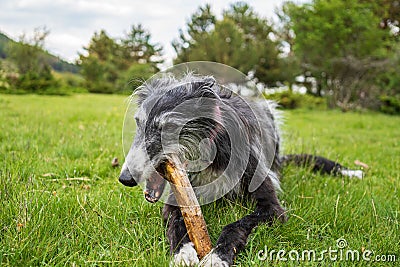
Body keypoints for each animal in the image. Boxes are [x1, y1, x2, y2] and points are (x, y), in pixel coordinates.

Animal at [118, 74, 362, 266]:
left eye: (168, 127)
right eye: (138, 122)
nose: (125, 178)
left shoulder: (273, 208)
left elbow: (236, 225)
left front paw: (218, 255)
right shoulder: (177, 201)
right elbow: (177, 224)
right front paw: (182, 253)